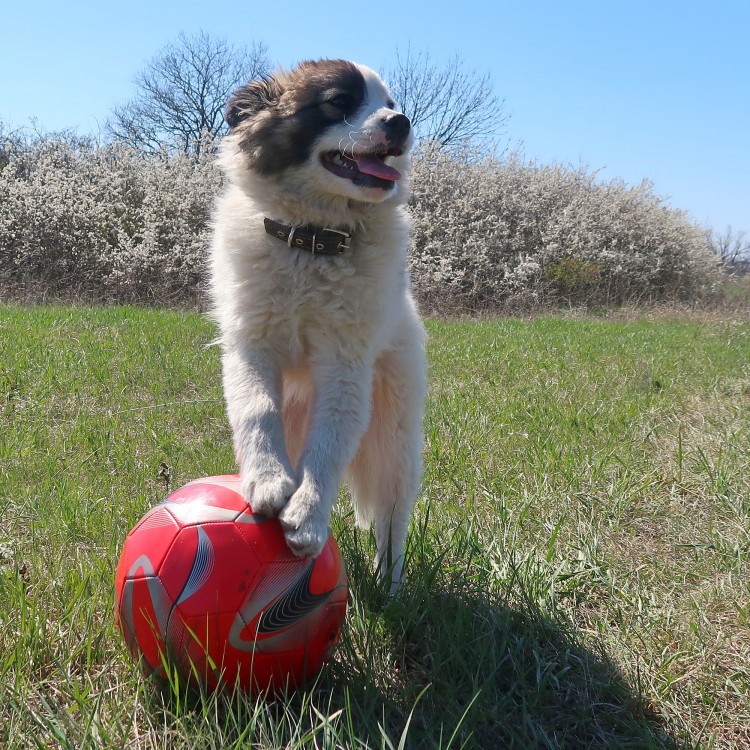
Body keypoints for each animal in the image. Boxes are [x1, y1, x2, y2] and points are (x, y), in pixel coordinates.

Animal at [209, 60, 428, 592]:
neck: (310, 240)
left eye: (390, 102)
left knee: (393, 519)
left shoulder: (345, 367)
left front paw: (308, 516)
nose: (401, 122)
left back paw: (391, 588)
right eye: (339, 102)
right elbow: (256, 409)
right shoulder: (250, 346)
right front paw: (268, 480)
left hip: (394, 441)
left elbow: (329, 445)